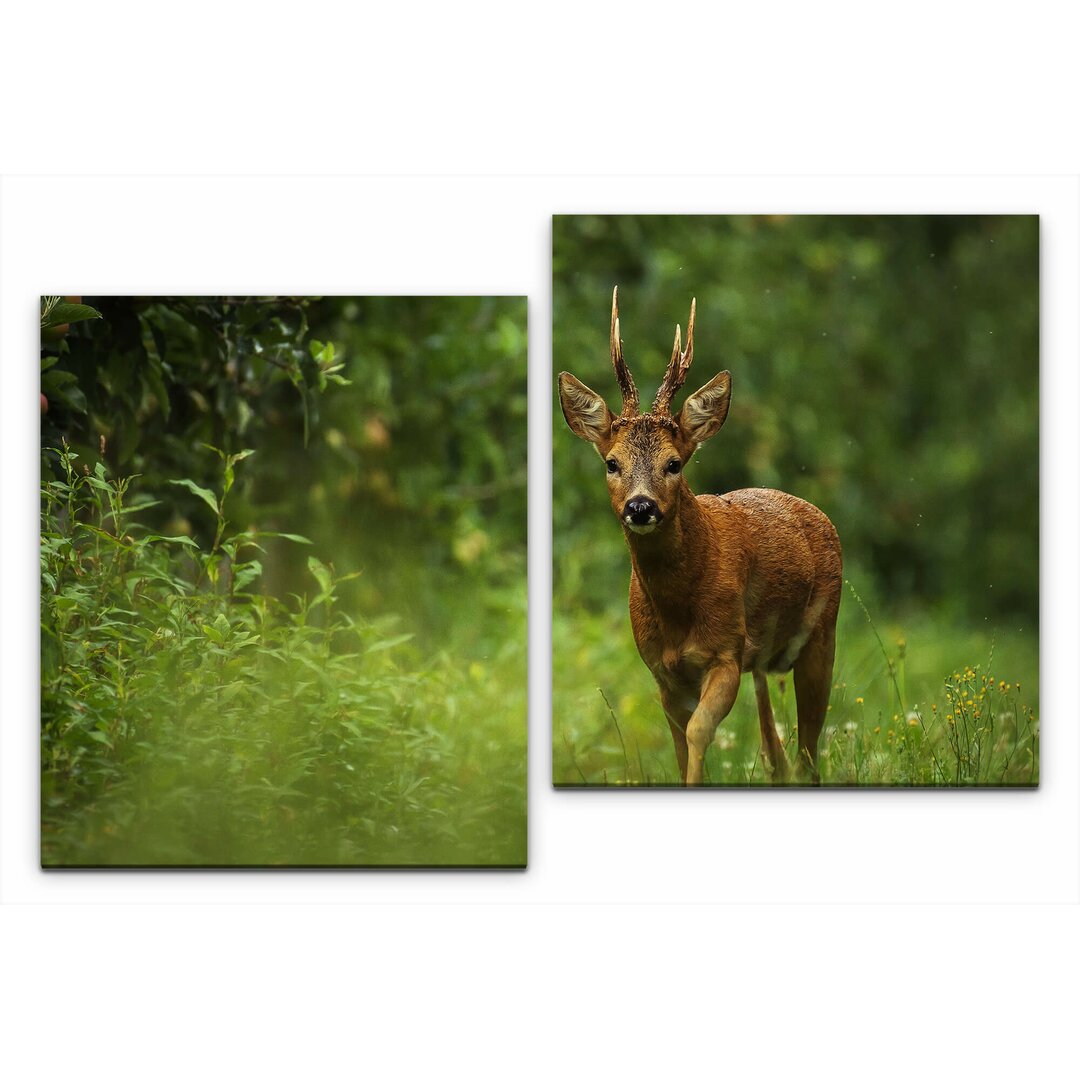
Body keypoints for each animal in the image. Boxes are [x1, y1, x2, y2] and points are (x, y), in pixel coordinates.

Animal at [557, 289, 842, 786]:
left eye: (674, 463)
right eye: (611, 462)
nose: (641, 507)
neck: (678, 612)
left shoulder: (725, 652)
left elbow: (698, 734)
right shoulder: (662, 672)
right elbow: (678, 745)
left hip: (822, 634)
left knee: (808, 752)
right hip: (762, 658)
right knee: (776, 749)